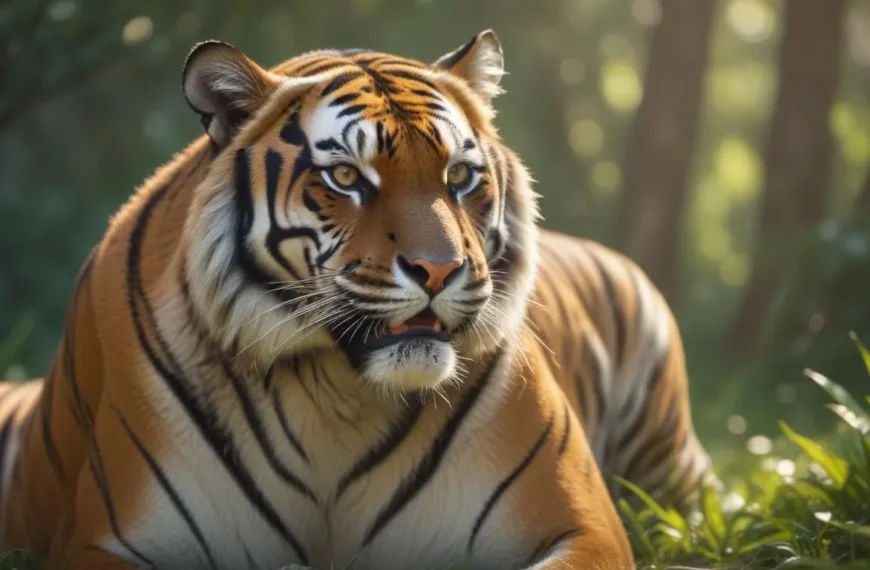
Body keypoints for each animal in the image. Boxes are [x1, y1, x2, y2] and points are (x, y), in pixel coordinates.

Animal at [0, 30, 713, 570]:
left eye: (459, 176)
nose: (439, 269)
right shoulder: (110, 540)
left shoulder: (583, 524)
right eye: (346, 177)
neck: (336, 395)